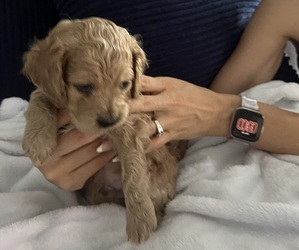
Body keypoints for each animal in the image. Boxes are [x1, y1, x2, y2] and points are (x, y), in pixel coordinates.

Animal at [23, 18, 186, 244]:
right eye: (83, 87)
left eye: (125, 84)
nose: (110, 121)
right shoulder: (51, 92)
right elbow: (39, 97)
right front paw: (37, 141)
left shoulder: (130, 124)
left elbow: (133, 173)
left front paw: (140, 221)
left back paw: (154, 214)